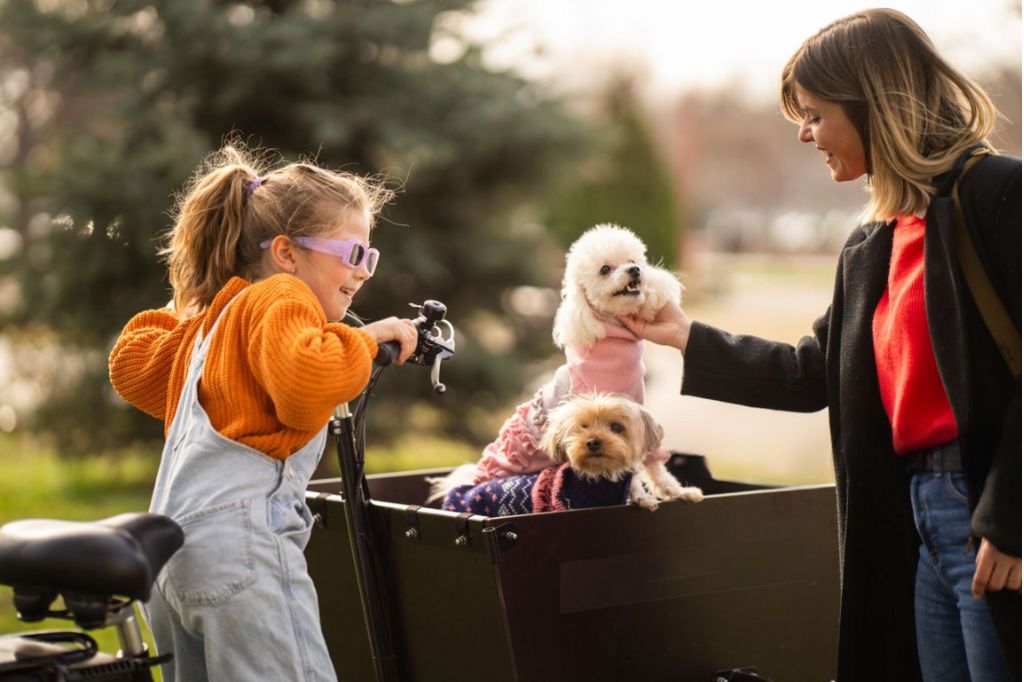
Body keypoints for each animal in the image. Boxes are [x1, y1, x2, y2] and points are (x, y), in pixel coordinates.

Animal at [428, 222, 684, 499]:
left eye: (633, 261)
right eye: (605, 270)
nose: (635, 270)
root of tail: (474, 476)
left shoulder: (634, 410)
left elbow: (652, 460)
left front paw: (677, 491)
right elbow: (629, 464)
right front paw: (638, 496)